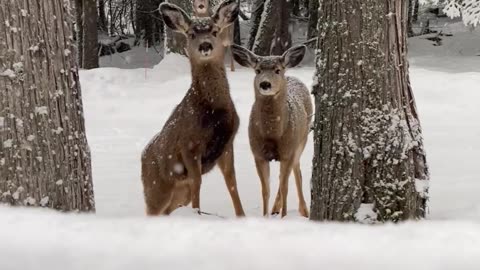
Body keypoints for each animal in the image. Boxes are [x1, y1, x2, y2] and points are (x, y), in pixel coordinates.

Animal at [139, 0, 244, 217]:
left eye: (214, 30)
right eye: (191, 33)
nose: (205, 45)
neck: (214, 112)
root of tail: (142, 158)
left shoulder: (227, 143)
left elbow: (232, 182)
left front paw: (242, 215)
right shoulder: (189, 145)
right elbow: (198, 182)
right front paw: (198, 214)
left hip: (179, 193)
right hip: (155, 189)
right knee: (153, 209)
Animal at [232, 43, 314, 217]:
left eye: (277, 70)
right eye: (257, 70)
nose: (265, 84)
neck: (272, 134)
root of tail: (293, 77)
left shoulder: (288, 151)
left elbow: (285, 187)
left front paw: (284, 217)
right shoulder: (258, 154)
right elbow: (265, 190)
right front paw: (266, 216)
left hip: (301, 140)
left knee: (296, 172)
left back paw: (304, 210)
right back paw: (276, 208)